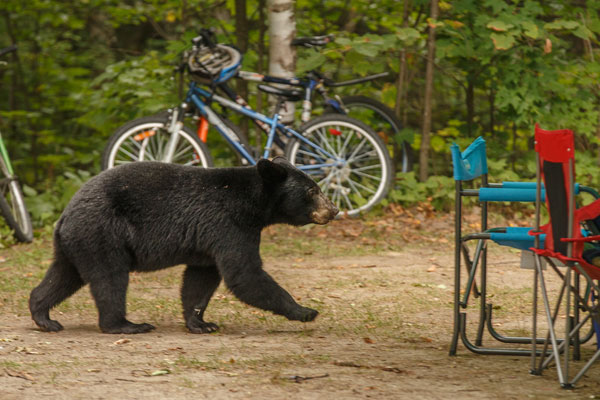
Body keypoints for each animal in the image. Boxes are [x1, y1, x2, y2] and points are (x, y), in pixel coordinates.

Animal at [29, 158, 338, 332]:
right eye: (313, 190)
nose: (333, 210)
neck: (253, 205)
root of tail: (65, 214)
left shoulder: (209, 241)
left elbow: (200, 280)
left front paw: (201, 323)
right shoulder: (229, 224)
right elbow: (245, 274)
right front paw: (306, 311)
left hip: (77, 243)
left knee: (63, 275)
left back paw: (44, 316)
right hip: (103, 233)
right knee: (110, 279)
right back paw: (126, 325)